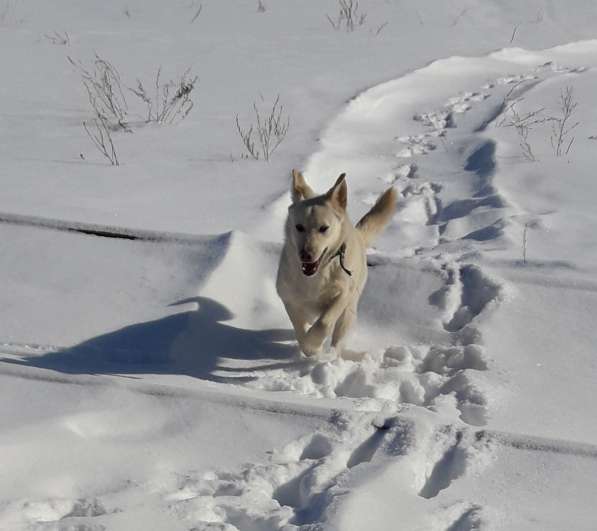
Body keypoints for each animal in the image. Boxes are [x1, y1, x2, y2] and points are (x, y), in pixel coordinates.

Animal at [278, 172, 398, 358]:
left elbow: (324, 322)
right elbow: (300, 327)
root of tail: (358, 234)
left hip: (349, 310)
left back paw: (333, 355)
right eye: (299, 227)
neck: (317, 275)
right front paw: (309, 346)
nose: (306, 255)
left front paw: (314, 344)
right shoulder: (289, 298)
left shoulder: (343, 294)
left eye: (324, 228)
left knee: (338, 336)